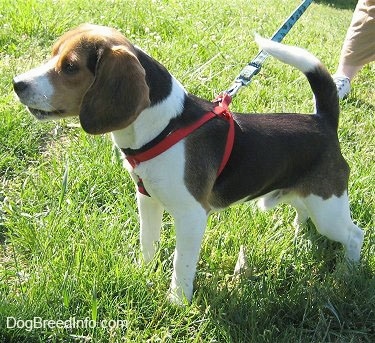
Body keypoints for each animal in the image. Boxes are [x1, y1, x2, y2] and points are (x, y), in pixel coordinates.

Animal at [13, 23, 364, 304]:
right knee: (303, 211)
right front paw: (143, 271)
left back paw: (348, 274)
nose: (17, 83)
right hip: (309, 199)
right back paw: (300, 239)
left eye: (70, 67)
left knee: (354, 234)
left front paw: (177, 302)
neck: (164, 126)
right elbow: (148, 241)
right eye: (53, 54)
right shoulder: (147, 199)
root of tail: (322, 121)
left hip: (329, 210)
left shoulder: (191, 216)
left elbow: (181, 263)